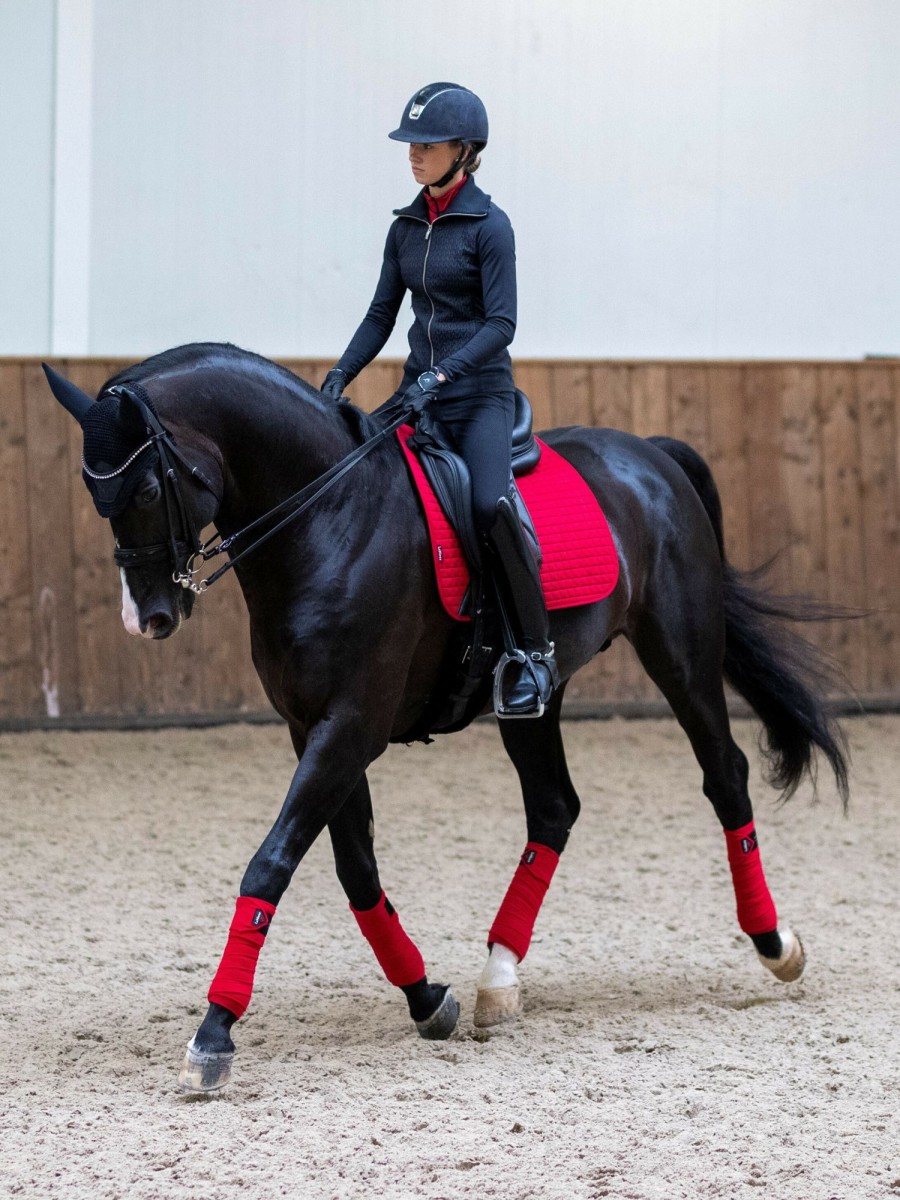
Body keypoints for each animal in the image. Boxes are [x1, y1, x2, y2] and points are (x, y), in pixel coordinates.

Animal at [42, 348, 849, 1099]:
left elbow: (271, 862)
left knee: (725, 777)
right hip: (534, 697)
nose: (148, 618)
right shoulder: (314, 728)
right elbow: (355, 869)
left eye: (148, 487)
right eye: (91, 491)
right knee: (554, 808)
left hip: (680, 654)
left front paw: (214, 1033)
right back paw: (499, 976)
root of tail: (650, 453)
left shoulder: (351, 726)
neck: (331, 518)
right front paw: (427, 996)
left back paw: (774, 944)